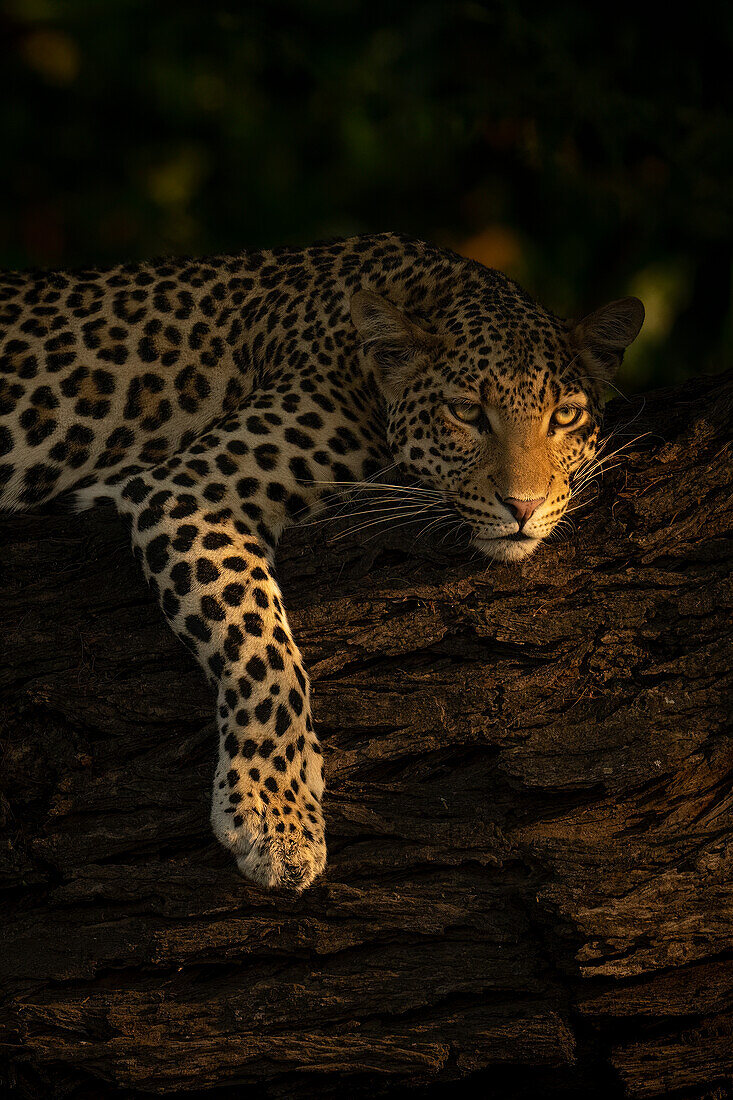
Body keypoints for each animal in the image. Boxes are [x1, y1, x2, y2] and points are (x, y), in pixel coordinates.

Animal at [0, 234, 638, 893]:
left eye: (565, 416)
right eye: (465, 412)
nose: (524, 505)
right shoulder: (192, 491)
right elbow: (261, 649)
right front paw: (274, 817)